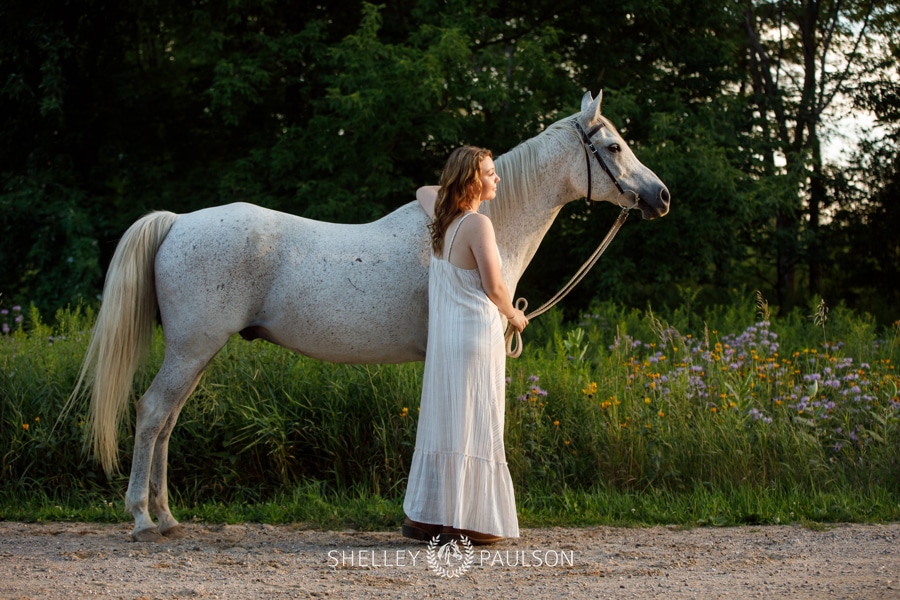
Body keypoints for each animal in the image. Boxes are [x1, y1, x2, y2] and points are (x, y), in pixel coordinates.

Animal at [74, 90, 668, 544]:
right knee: (153, 413)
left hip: (195, 353)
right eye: (613, 146)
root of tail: (176, 222)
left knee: (167, 421)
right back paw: (142, 520)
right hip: (192, 348)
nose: (660, 197)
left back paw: (168, 517)